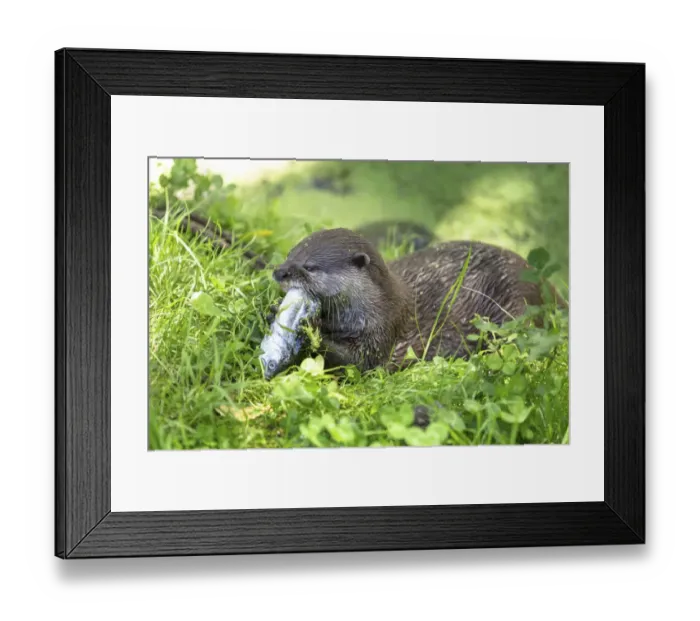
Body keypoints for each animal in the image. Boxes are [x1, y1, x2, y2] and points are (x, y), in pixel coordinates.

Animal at [271, 227, 563, 373]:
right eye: (290, 254)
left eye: (309, 267)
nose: (279, 272)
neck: (378, 306)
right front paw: (273, 310)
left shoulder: (383, 331)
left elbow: (359, 362)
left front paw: (310, 328)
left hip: (516, 309)